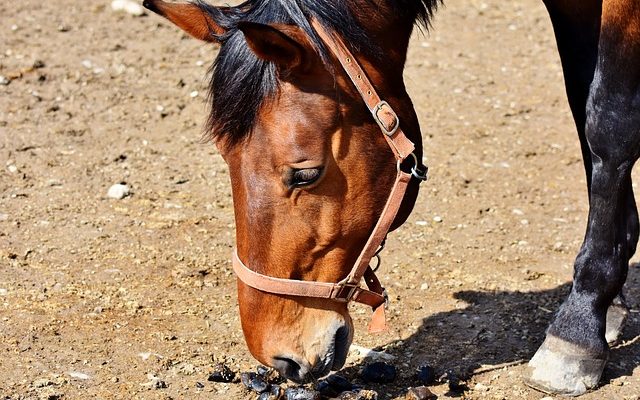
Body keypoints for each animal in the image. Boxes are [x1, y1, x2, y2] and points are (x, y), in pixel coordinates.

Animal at [145, 0, 640, 396]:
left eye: (305, 174)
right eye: (223, 157)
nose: (279, 357)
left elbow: (609, 124)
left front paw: (579, 326)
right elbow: (583, 111)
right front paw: (610, 301)